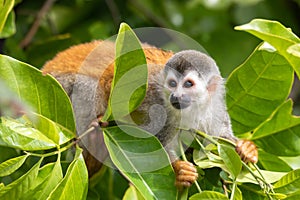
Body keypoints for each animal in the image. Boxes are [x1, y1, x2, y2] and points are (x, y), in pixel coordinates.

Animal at [42, 40, 258, 188]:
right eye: (172, 84)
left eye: (188, 84)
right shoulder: (156, 99)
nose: (175, 96)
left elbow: (218, 137)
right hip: (63, 84)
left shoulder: (215, 106)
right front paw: (179, 170)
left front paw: (246, 149)